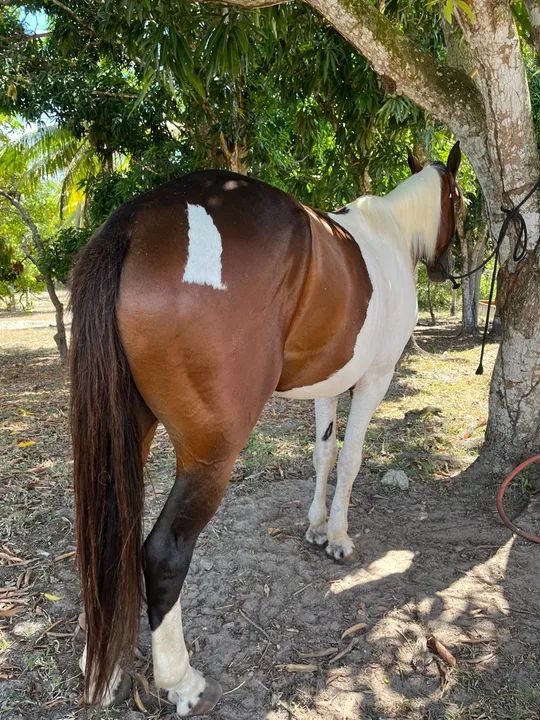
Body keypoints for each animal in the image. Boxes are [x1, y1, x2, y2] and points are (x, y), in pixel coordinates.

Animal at [69, 142, 461, 716]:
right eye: (460, 201)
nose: (447, 269)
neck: (387, 234)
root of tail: (137, 220)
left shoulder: (328, 383)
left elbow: (324, 454)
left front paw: (317, 528)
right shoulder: (374, 378)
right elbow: (350, 459)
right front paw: (338, 537)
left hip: (127, 438)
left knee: (109, 537)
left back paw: (107, 664)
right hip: (211, 456)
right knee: (163, 552)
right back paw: (182, 682)